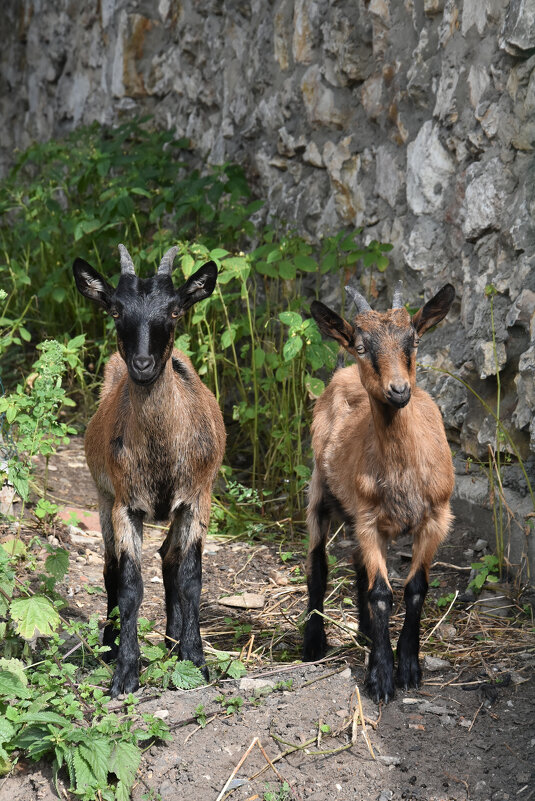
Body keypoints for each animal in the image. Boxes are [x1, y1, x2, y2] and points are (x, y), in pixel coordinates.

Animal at [72, 247, 225, 696]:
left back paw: (174, 642)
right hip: (103, 497)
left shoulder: (196, 499)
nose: (142, 364)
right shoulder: (125, 504)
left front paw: (194, 659)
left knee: (170, 560)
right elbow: (128, 586)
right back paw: (109, 647)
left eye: (174, 310)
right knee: (110, 569)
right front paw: (125, 671)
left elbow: (191, 578)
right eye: (116, 309)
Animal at [304, 280, 454, 700]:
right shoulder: (369, 520)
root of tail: (341, 377)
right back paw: (313, 642)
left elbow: (415, 588)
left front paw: (409, 667)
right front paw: (381, 676)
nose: (398, 390)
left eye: (413, 339)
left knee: (357, 565)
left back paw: (365, 633)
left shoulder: (436, 517)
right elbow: (382, 593)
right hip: (320, 490)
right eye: (361, 346)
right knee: (318, 563)